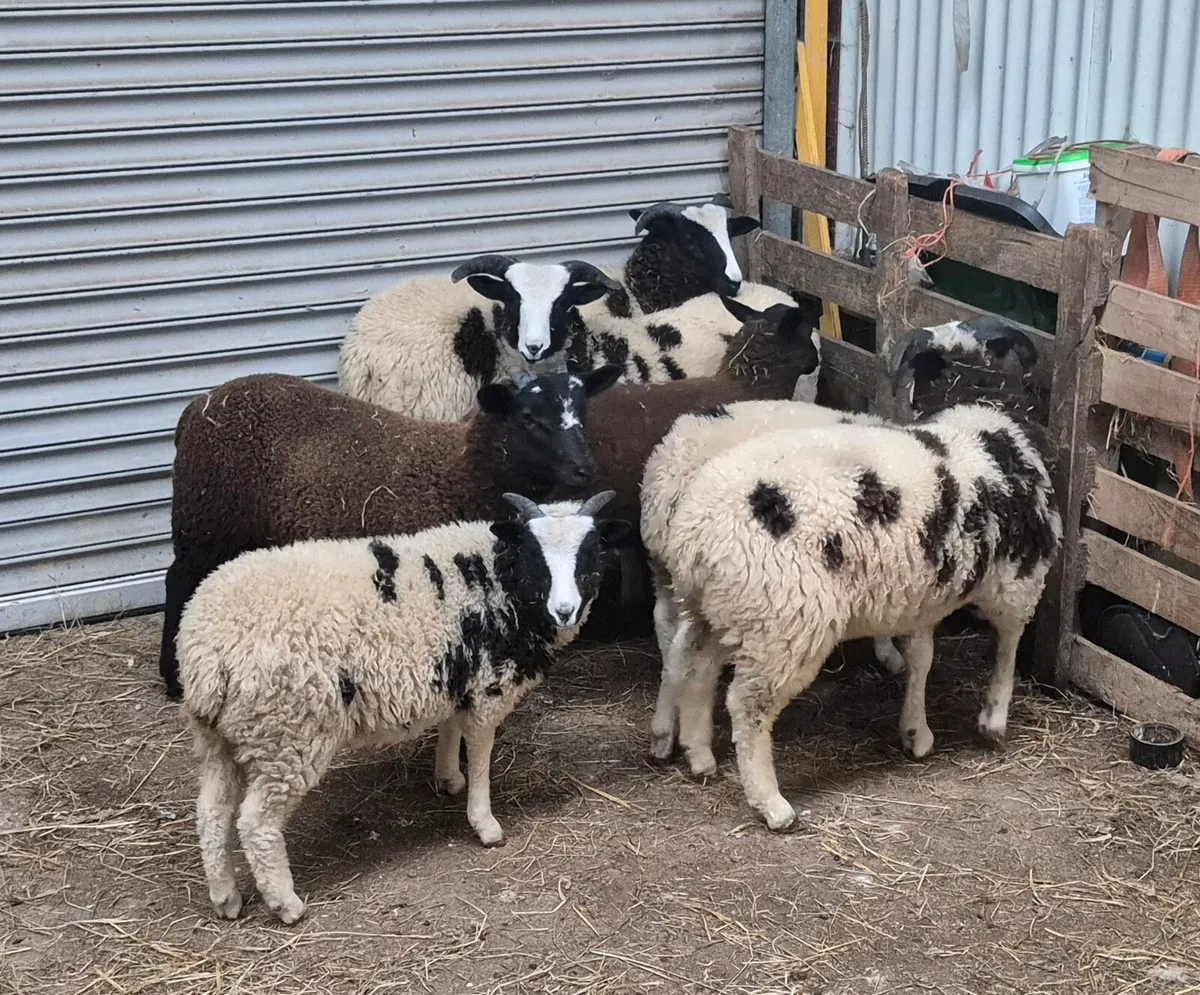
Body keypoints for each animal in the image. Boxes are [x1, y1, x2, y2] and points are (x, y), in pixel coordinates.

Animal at [158, 365, 621, 700]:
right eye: (528, 418)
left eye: (583, 412)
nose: (585, 468)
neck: (464, 470)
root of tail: (197, 406)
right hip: (205, 520)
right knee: (179, 581)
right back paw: (174, 679)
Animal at [181, 491, 632, 924]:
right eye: (538, 559)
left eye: (590, 555)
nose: (564, 611)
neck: (501, 578)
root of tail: (206, 649)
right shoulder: (489, 688)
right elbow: (481, 753)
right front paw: (485, 823)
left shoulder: (455, 675)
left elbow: (450, 727)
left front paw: (448, 778)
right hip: (287, 731)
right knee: (257, 823)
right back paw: (286, 904)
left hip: (220, 734)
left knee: (212, 812)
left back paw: (226, 898)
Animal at [657, 321, 1059, 830]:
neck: (980, 414)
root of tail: (693, 530)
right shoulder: (1020, 575)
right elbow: (1008, 647)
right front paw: (993, 720)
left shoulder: (924, 587)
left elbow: (922, 658)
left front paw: (916, 732)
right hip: (785, 621)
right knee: (748, 707)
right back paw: (771, 803)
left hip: (721, 608)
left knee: (695, 663)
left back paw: (697, 752)